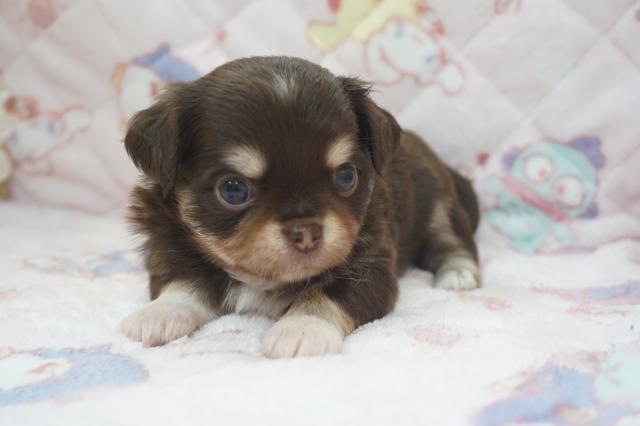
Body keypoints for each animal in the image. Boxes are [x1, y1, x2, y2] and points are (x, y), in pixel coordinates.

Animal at [119, 56, 480, 357]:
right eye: (233, 190)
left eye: (346, 176)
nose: (307, 233)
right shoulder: (170, 248)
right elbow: (183, 282)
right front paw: (160, 312)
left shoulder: (371, 268)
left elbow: (329, 293)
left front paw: (301, 328)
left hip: (439, 203)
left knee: (452, 240)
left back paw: (459, 274)